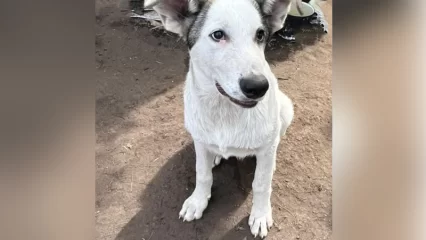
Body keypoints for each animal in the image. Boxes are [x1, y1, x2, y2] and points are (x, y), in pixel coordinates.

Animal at [151, 0, 294, 236]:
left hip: (286, 110)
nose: (258, 87)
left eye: (260, 34)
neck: (224, 111)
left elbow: (261, 183)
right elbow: (202, 173)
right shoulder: (199, 141)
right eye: (218, 35)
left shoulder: (265, 147)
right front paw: (198, 201)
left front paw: (260, 214)